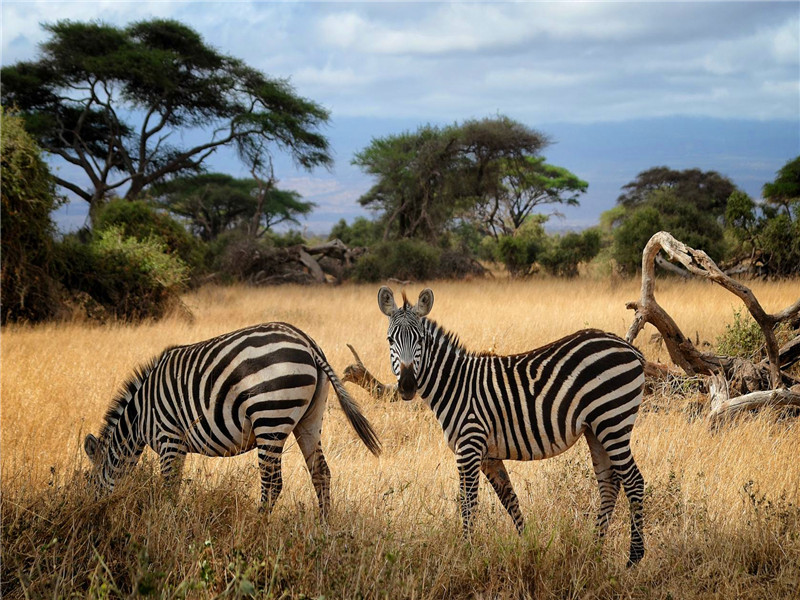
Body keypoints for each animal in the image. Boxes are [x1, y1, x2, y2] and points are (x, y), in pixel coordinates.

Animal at [84, 324, 382, 516]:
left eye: (88, 482)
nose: (91, 513)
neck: (138, 416)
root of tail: (306, 341)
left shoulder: (170, 439)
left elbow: (169, 488)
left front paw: (165, 524)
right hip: (309, 418)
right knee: (321, 473)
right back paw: (324, 528)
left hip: (270, 417)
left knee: (272, 484)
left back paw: (256, 527)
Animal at [378, 288, 648, 564]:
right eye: (390, 340)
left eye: (420, 340)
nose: (407, 386)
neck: (455, 384)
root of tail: (627, 346)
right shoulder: (488, 455)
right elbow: (509, 499)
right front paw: (529, 545)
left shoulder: (469, 446)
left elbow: (467, 503)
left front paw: (467, 552)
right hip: (596, 429)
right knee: (609, 484)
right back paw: (594, 549)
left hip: (613, 419)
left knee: (634, 480)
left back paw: (634, 556)